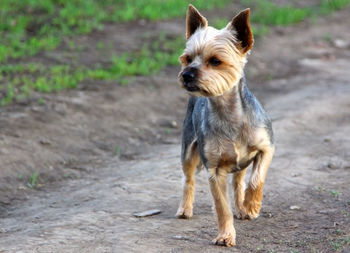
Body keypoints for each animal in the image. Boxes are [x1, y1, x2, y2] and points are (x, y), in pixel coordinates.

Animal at [176, 4, 274, 247]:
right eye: (188, 58)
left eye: (215, 61)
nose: (187, 74)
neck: (228, 113)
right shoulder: (215, 170)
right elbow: (222, 208)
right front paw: (225, 235)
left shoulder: (267, 148)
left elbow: (256, 179)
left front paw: (251, 205)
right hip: (188, 150)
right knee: (188, 178)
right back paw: (185, 209)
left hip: (243, 162)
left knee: (239, 181)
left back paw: (242, 206)